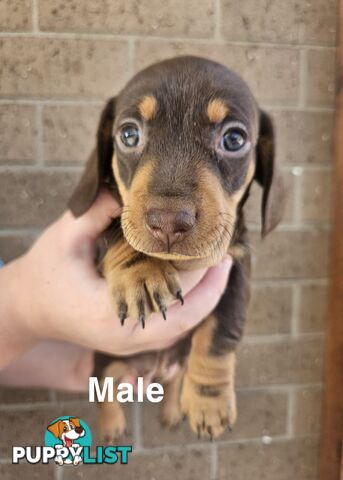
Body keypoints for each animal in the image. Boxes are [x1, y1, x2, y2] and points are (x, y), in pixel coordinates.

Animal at [68, 56, 286, 442]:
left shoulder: (236, 274)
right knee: (106, 390)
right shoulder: (101, 238)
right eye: (129, 135)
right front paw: (142, 272)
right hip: (106, 361)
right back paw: (112, 427)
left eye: (234, 139)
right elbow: (118, 233)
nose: (168, 222)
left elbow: (218, 337)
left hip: (174, 361)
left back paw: (171, 411)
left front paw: (208, 403)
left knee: (174, 378)